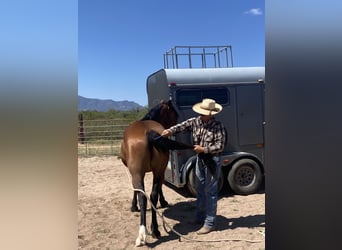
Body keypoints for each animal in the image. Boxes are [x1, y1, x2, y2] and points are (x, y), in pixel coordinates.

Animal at [120, 99, 192, 246]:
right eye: (174, 114)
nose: (172, 130)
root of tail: (149, 132)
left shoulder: (135, 173)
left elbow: (136, 191)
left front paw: (133, 206)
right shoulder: (160, 170)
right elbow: (158, 188)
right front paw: (163, 202)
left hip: (138, 173)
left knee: (144, 197)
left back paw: (143, 233)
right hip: (158, 170)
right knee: (152, 196)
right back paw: (155, 230)